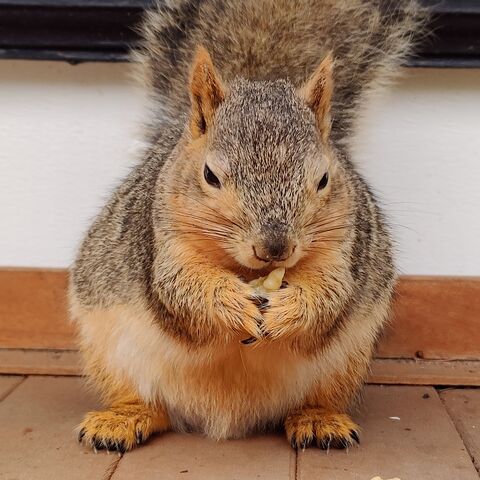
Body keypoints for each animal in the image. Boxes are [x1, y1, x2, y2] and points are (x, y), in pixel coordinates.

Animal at [70, 0, 426, 453]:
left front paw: (289, 309)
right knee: (149, 405)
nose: (275, 248)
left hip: (347, 361)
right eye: (210, 175)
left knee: (316, 399)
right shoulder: (162, 242)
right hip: (111, 352)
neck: (246, 269)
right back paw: (123, 418)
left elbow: (329, 294)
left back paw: (319, 420)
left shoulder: (341, 246)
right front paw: (232, 304)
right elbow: (183, 290)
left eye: (324, 178)